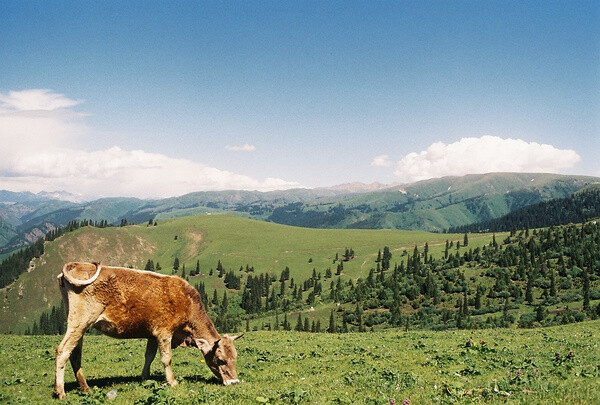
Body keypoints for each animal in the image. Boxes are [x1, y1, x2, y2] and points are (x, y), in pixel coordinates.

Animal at [53, 262, 241, 398]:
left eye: (235, 358)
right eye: (220, 359)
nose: (235, 382)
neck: (187, 302)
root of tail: (77, 264)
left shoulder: (152, 334)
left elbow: (149, 356)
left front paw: (145, 377)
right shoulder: (164, 332)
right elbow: (166, 358)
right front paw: (172, 382)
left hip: (80, 326)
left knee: (75, 353)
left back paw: (84, 387)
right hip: (79, 321)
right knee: (63, 351)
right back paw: (60, 391)